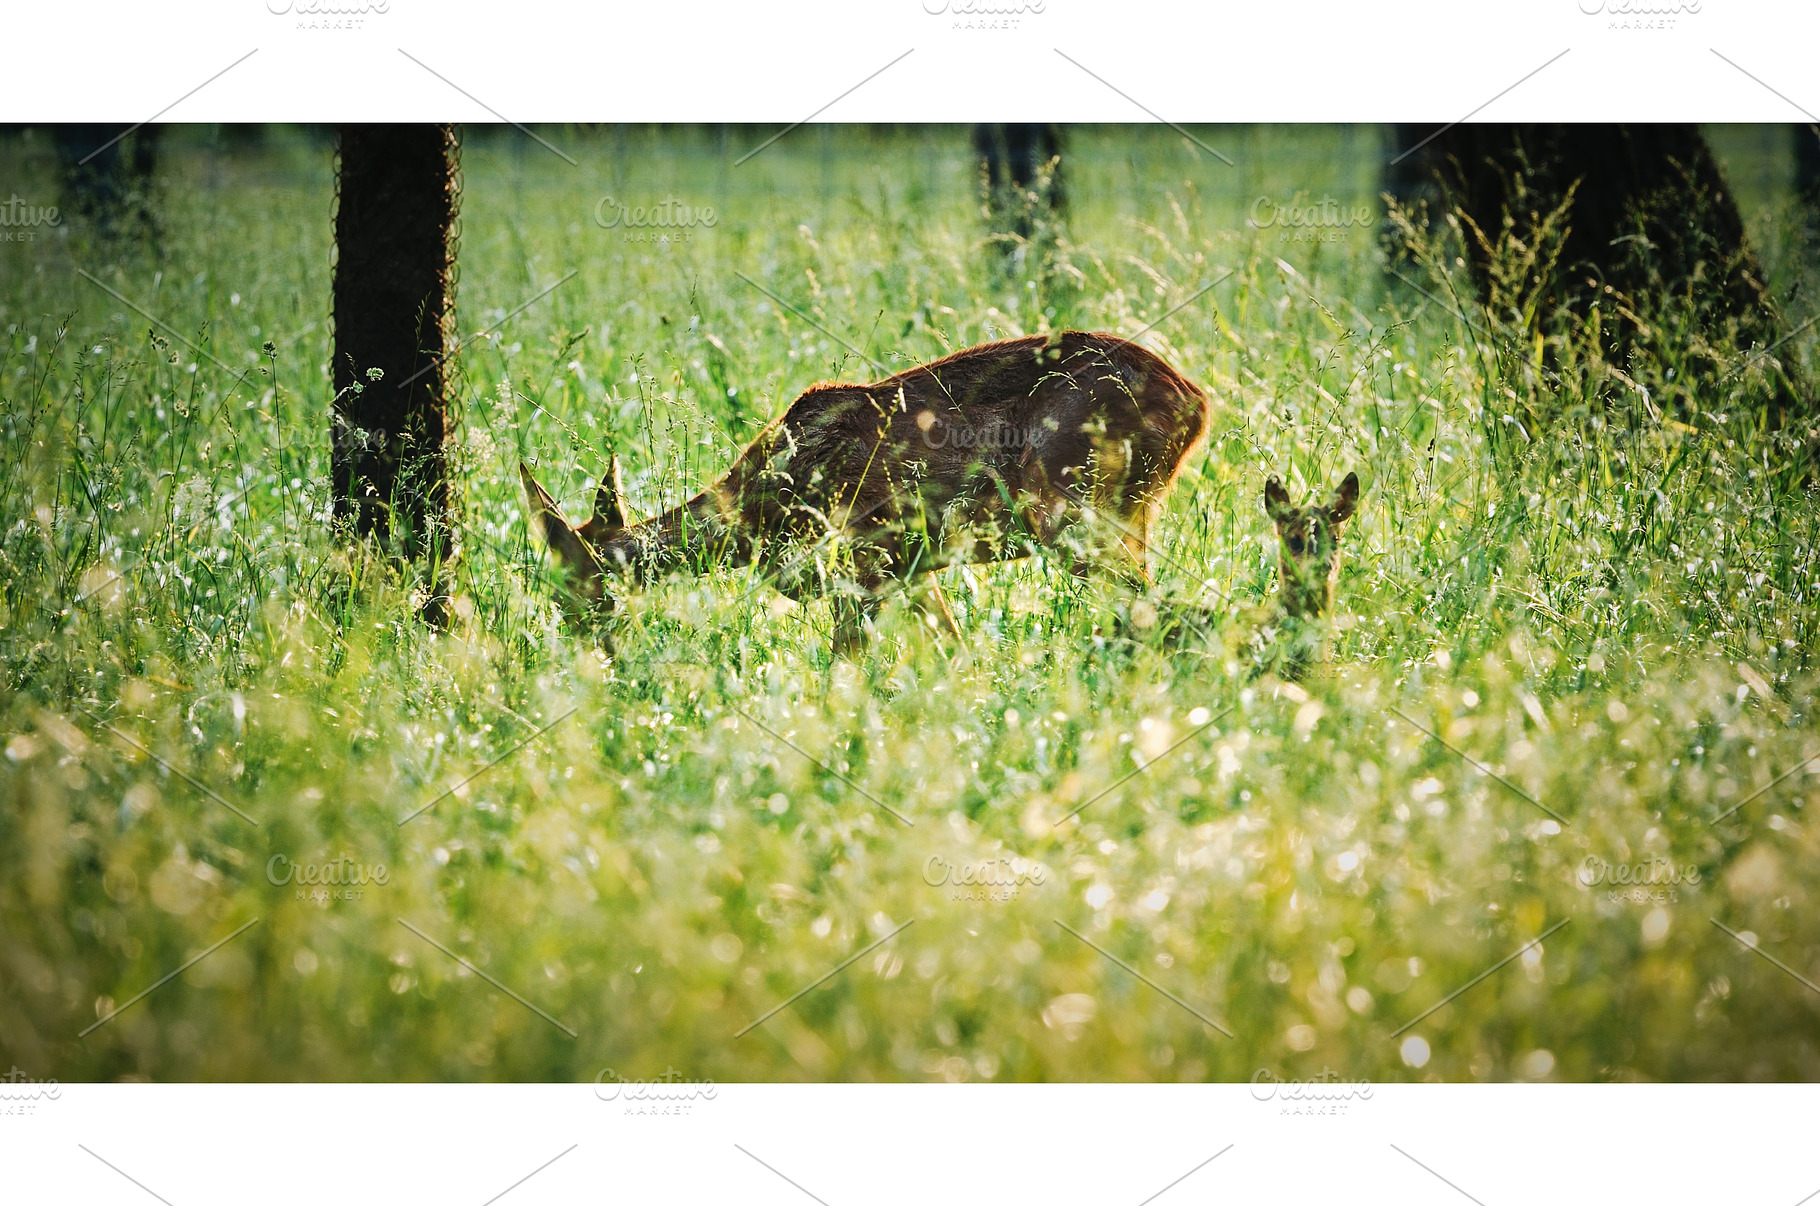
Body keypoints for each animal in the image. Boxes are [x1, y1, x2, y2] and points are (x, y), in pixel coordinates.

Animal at [518, 331, 1210, 654]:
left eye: (579, 586)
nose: (591, 655)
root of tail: (1198, 404)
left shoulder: (866, 554)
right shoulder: (912, 567)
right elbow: (957, 654)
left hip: (1077, 511)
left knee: (1173, 616)